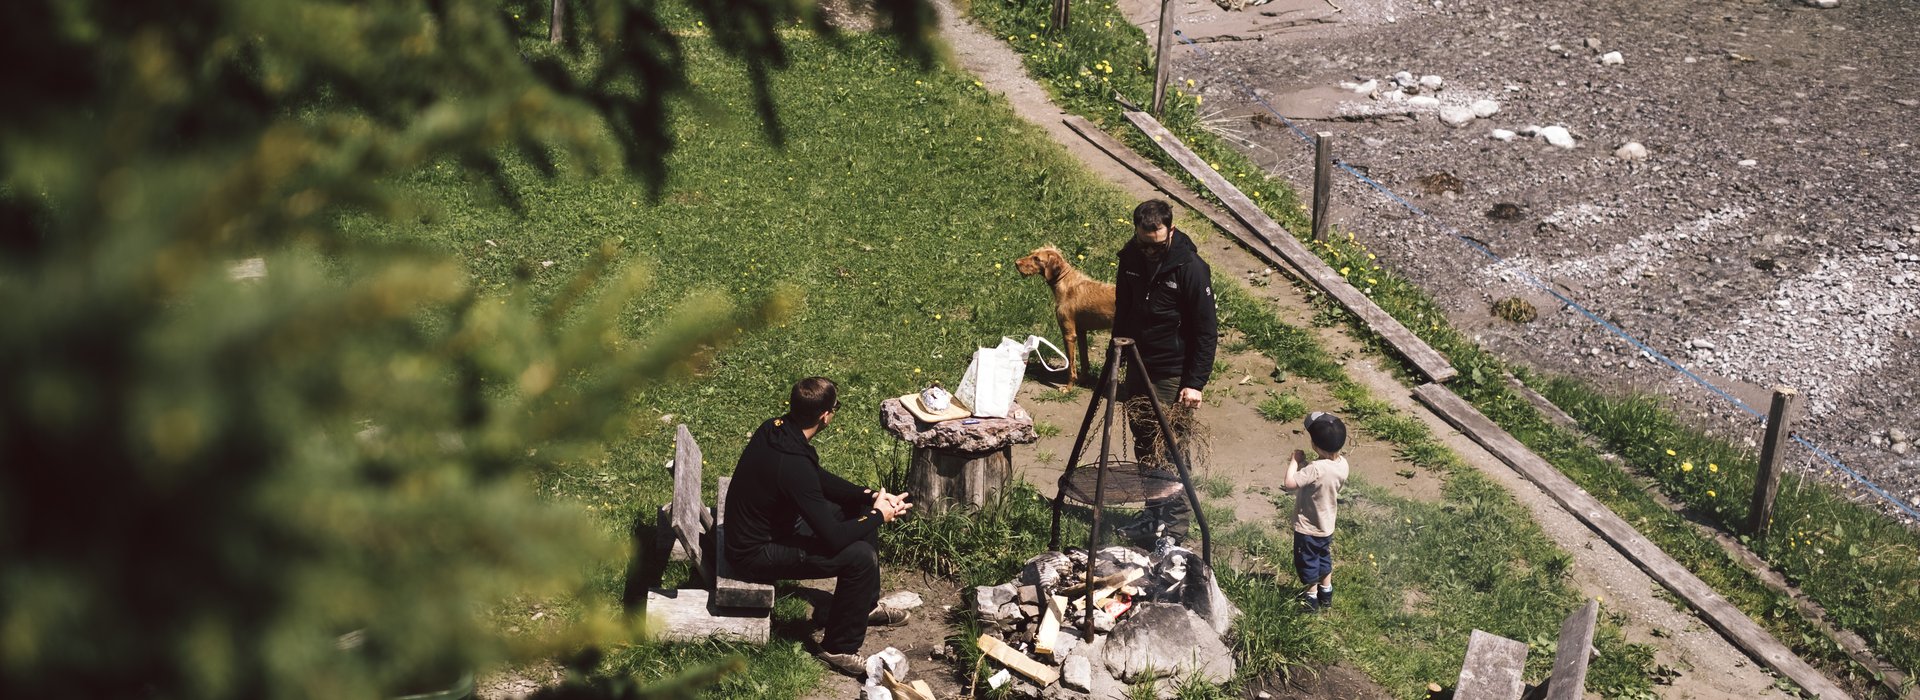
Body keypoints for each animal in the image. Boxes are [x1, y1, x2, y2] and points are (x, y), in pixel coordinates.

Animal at [1013, 245, 1121, 383]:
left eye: (1037, 258)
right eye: (1032, 253)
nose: (1016, 263)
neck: (1065, 283)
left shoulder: (1069, 335)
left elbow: (1071, 365)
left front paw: (1068, 385)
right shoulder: (1081, 332)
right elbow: (1084, 360)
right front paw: (1081, 380)